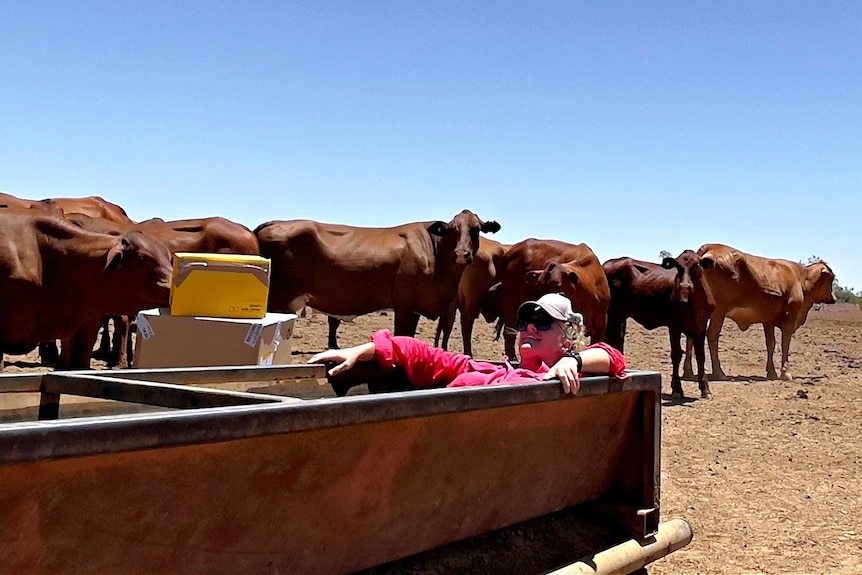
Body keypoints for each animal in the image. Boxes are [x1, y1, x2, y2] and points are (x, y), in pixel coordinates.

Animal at [256, 210, 500, 348]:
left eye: (476, 229)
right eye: (451, 229)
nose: (461, 254)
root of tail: (271, 223)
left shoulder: (438, 307)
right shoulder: (405, 306)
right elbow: (403, 335)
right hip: (279, 299)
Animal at [600, 252, 716, 400]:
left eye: (696, 265)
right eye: (678, 267)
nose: (684, 286)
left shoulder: (701, 327)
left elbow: (701, 356)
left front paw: (706, 390)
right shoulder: (674, 326)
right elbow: (676, 354)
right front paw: (677, 389)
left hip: (620, 316)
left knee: (617, 340)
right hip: (612, 313)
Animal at [688, 243, 836, 382]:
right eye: (832, 278)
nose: (834, 298)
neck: (802, 279)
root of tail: (710, 247)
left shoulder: (767, 320)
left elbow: (771, 343)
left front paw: (772, 372)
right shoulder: (791, 316)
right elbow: (785, 343)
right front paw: (785, 373)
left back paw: (687, 372)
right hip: (719, 311)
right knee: (712, 336)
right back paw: (719, 372)